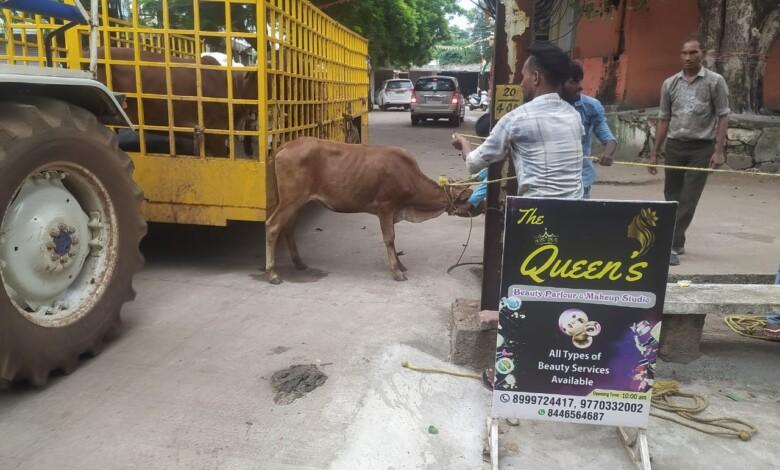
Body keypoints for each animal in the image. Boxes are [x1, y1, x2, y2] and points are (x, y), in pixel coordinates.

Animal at [266, 136, 472, 282]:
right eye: (468, 198)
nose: (478, 206)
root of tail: (287, 145)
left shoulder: (392, 211)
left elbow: (394, 239)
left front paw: (400, 264)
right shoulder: (385, 208)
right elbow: (389, 239)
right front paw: (396, 271)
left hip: (296, 202)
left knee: (288, 228)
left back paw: (299, 262)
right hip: (291, 199)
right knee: (273, 226)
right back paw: (272, 273)